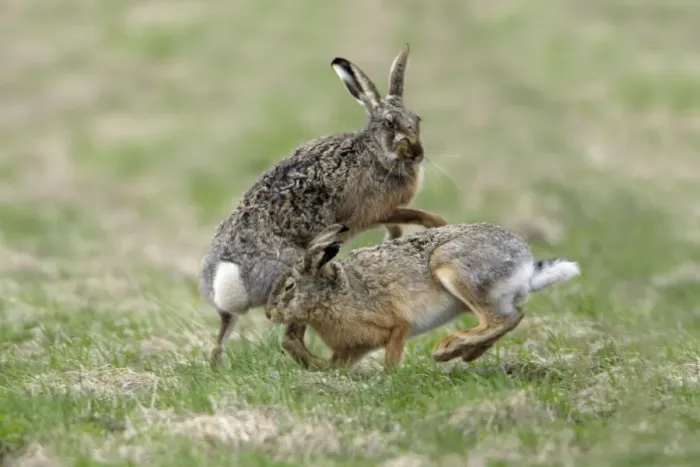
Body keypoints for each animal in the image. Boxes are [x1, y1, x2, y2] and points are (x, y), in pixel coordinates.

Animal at [200, 44, 447, 365]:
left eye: (417, 120)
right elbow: (415, 214)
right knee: (290, 338)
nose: (417, 153)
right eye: (390, 124)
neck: (376, 153)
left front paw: (395, 241)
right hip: (300, 277)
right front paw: (438, 225)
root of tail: (232, 281)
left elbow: (397, 226)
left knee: (222, 338)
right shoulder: (374, 211)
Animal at [265, 222, 581, 370]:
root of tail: (525, 265)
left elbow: (392, 353)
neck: (333, 291)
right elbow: (336, 366)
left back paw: (448, 348)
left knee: (499, 319)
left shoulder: (396, 325)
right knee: (513, 316)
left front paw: (388, 377)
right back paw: (467, 353)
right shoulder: (355, 346)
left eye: (289, 286)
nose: (270, 313)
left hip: (453, 270)